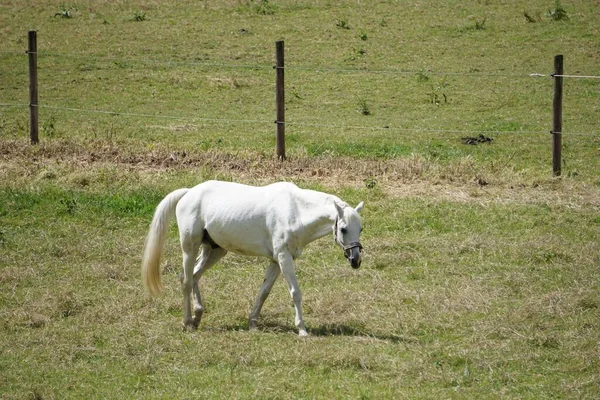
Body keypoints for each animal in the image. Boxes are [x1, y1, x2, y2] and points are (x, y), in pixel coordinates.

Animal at [142, 180, 364, 334]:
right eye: (343, 229)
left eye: (360, 228)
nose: (355, 260)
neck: (295, 211)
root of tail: (188, 193)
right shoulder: (284, 257)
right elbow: (295, 292)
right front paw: (302, 329)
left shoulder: (276, 260)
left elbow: (264, 292)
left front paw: (253, 324)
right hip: (190, 248)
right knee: (187, 280)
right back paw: (188, 322)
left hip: (214, 250)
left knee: (194, 276)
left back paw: (198, 316)